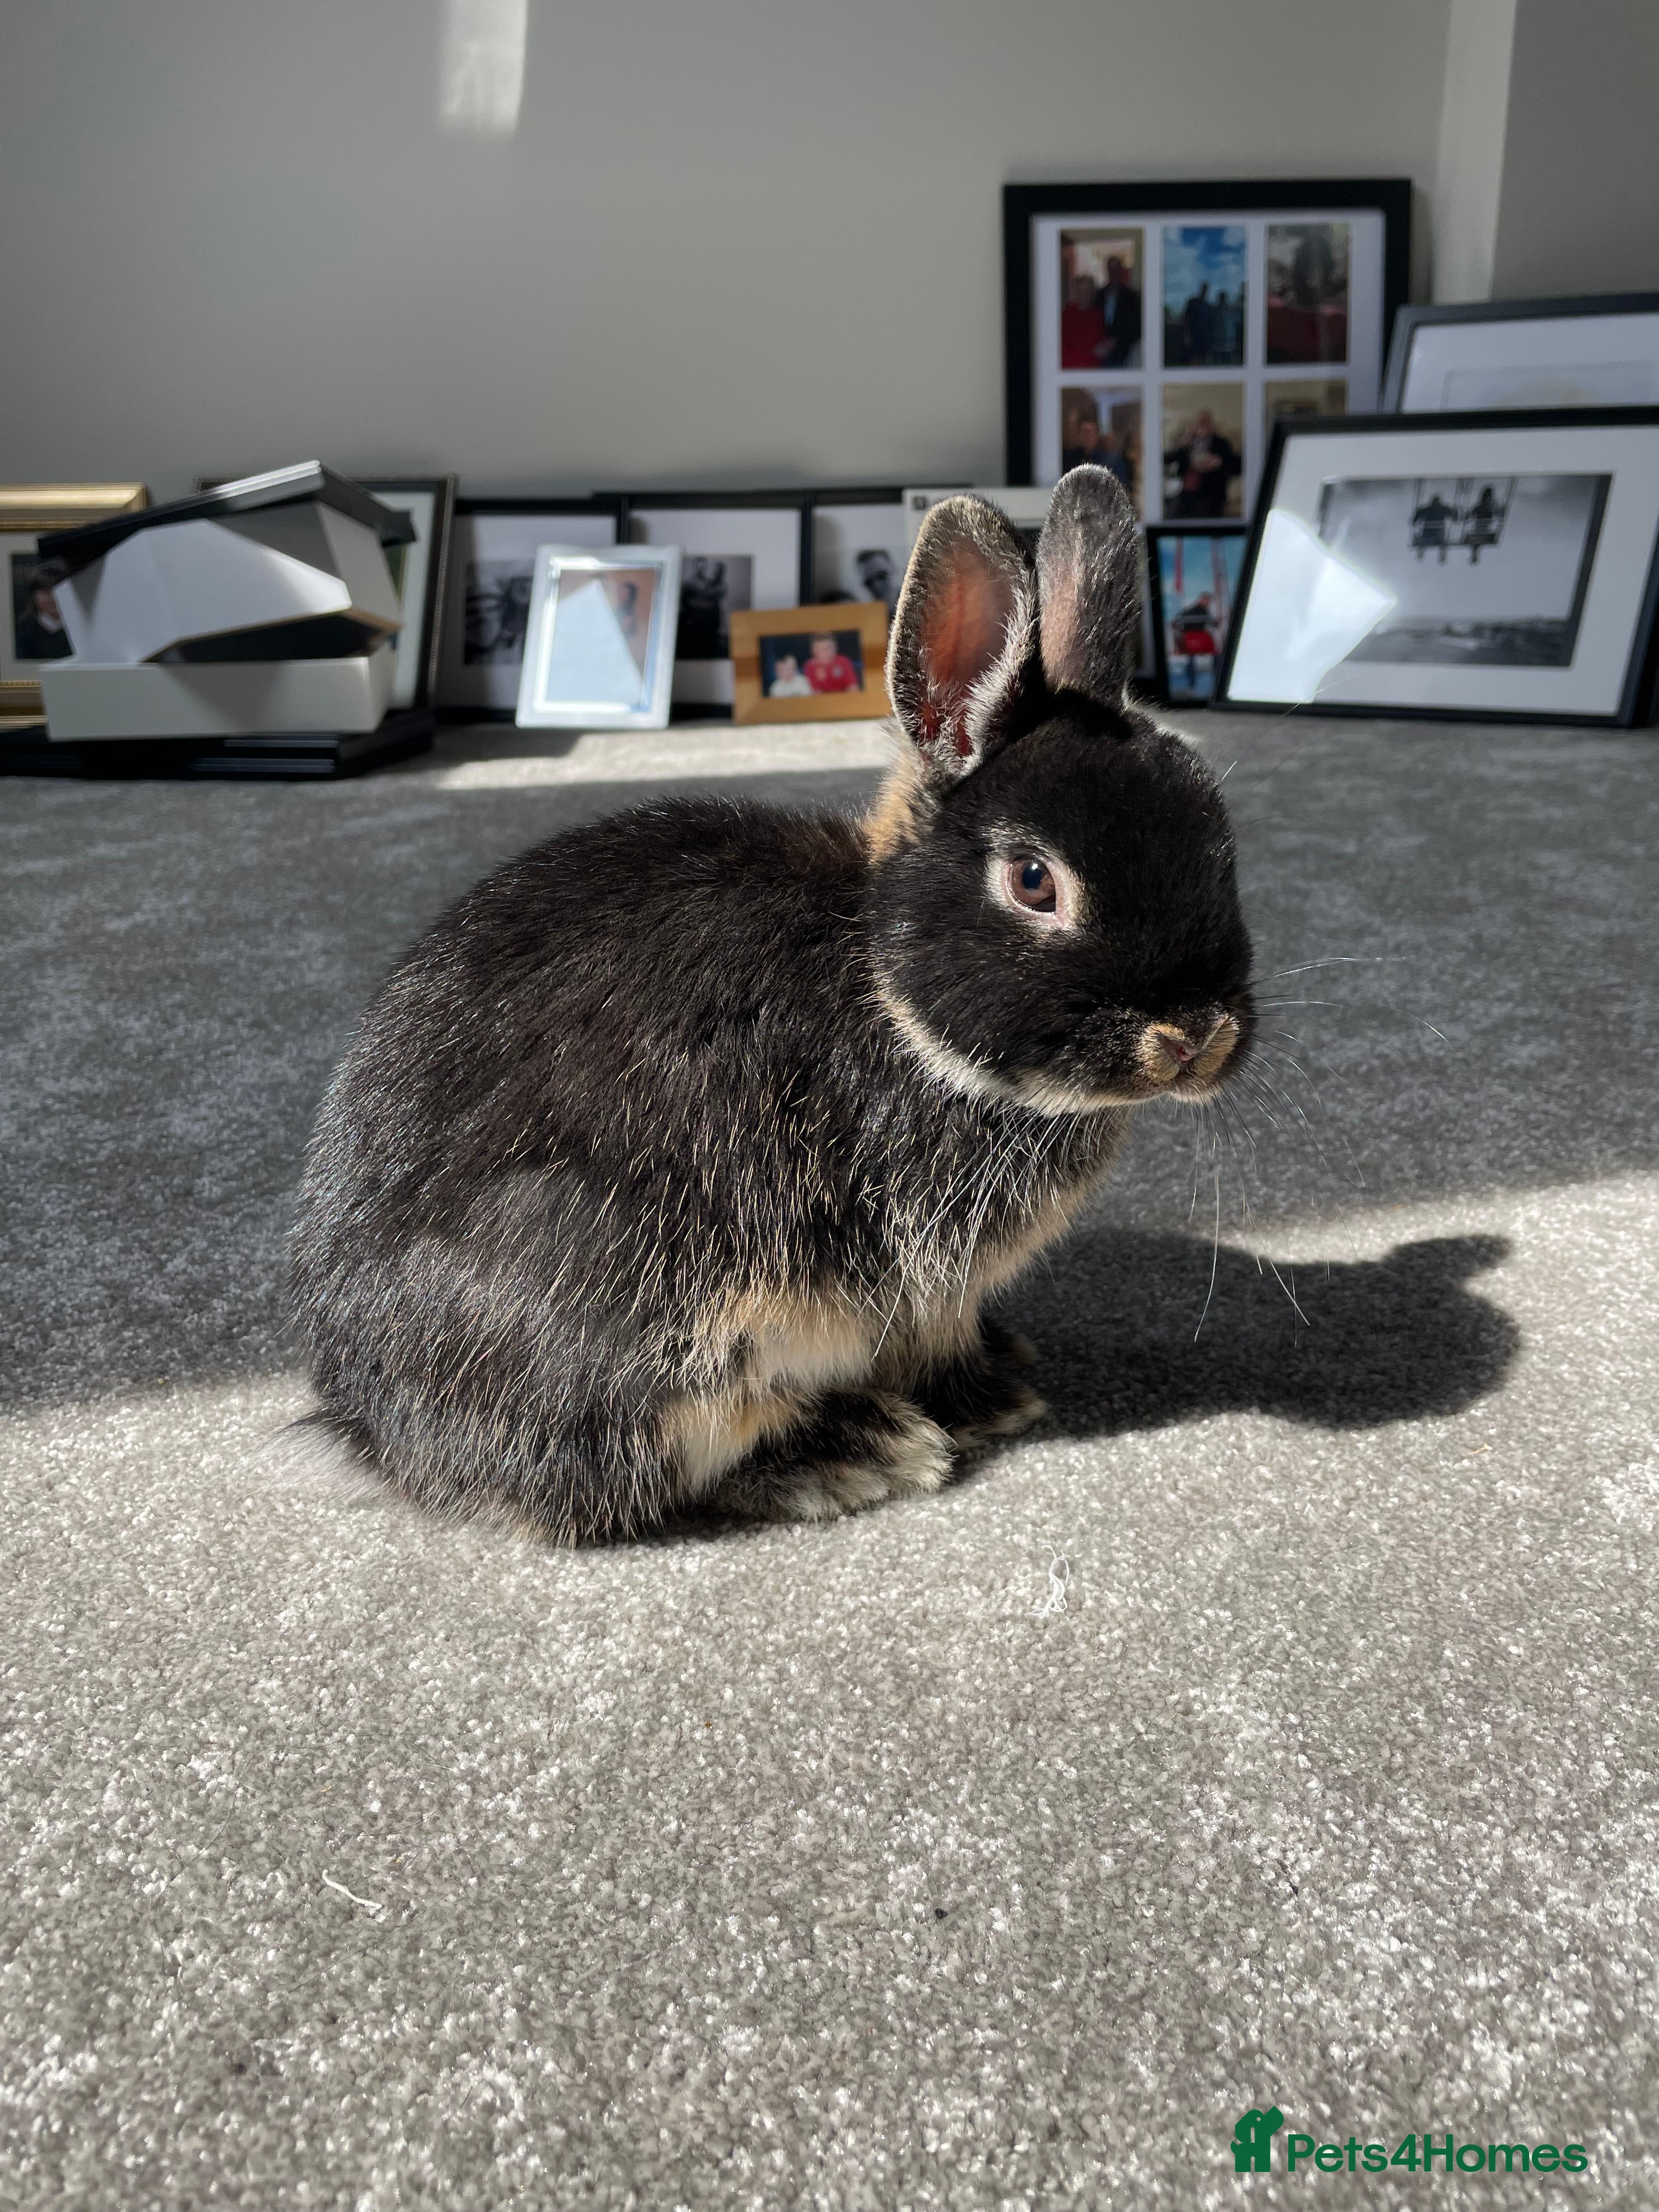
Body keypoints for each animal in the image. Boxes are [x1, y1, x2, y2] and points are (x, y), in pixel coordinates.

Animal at [289, 467, 1254, 1541]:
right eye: (1034, 882)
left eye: (1219, 845)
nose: (1195, 1036)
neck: (884, 989)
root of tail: (370, 1425)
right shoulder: (914, 1271)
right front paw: (981, 1402)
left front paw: (1002, 1379)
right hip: (655, 1305)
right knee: (641, 1472)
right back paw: (856, 1451)